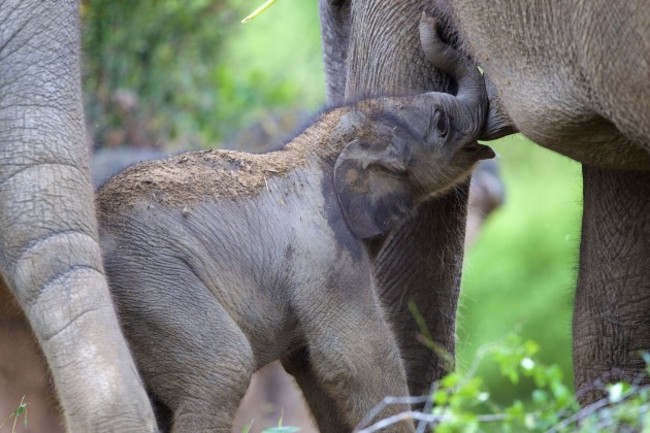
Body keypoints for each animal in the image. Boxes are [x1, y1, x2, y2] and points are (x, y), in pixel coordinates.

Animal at [96, 16, 492, 432]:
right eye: (441, 124)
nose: (432, 22)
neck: (317, 146)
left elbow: (310, 366)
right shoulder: (326, 251)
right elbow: (354, 358)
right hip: (149, 279)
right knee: (221, 369)